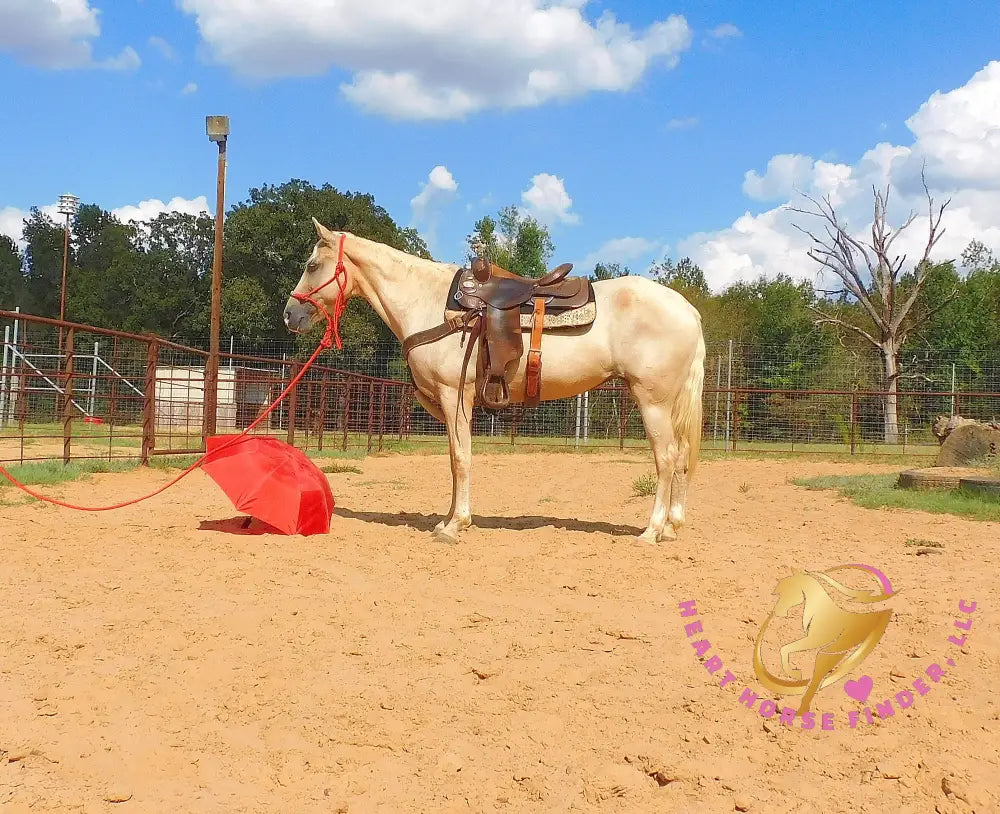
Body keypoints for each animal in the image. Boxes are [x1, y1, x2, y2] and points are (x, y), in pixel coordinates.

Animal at [282, 220, 704, 544]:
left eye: (313, 264)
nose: (289, 314)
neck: (428, 303)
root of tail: (688, 310)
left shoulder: (454, 396)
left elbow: (461, 458)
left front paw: (455, 525)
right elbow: (454, 461)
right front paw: (448, 518)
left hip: (652, 401)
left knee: (667, 458)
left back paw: (650, 531)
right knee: (682, 456)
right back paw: (671, 527)